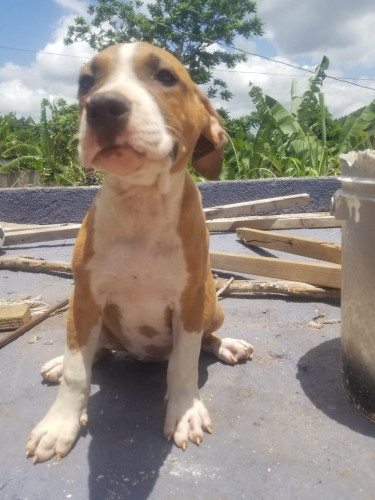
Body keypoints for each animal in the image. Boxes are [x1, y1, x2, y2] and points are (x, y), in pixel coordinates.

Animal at [26, 41, 254, 462]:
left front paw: (185, 413)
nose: (102, 107)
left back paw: (227, 345)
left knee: (206, 339)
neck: (141, 203)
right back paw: (58, 364)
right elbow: (78, 370)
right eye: (86, 82)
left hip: (212, 305)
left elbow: (183, 363)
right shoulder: (84, 298)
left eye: (165, 76)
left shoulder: (190, 301)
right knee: (95, 352)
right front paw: (60, 424)